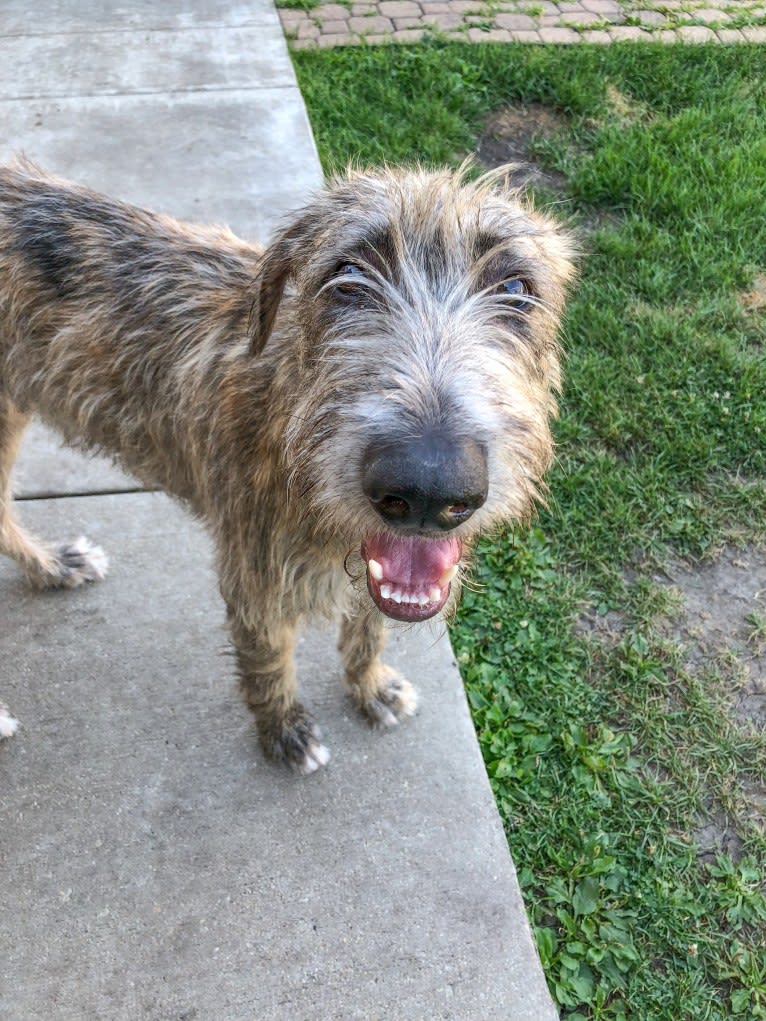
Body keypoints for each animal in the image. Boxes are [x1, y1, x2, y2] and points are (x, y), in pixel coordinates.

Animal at [0, 159, 576, 767]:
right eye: (347, 276)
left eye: (516, 288)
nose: (428, 486)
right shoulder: (255, 578)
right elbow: (268, 662)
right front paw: (283, 729)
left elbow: (369, 627)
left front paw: (370, 686)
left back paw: (51, 565)